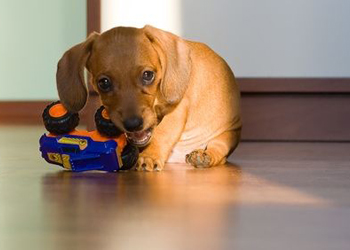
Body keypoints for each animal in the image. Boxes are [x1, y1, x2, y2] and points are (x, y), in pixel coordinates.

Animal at [56, 25, 241, 171]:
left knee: (219, 151)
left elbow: (163, 132)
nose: (133, 124)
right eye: (104, 83)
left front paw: (149, 156)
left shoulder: (178, 109)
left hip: (227, 135)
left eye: (148, 75)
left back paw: (204, 155)